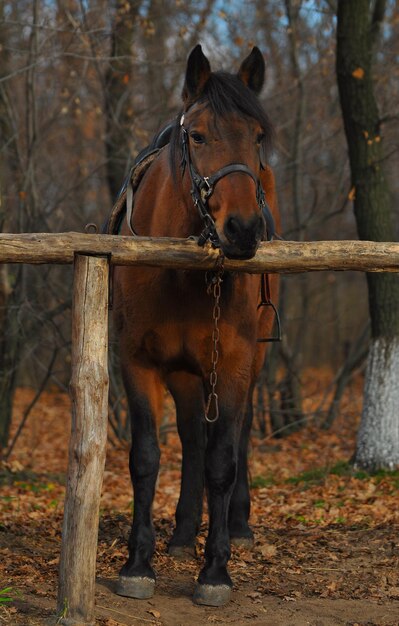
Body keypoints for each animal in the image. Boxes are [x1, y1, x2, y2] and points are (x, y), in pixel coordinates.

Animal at [112, 44, 282, 604]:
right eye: (199, 135)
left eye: (258, 135)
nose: (244, 229)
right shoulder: (137, 363)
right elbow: (146, 457)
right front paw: (138, 563)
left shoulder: (232, 364)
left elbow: (223, 459)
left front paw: (216, 570)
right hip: (186, 373)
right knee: (190, 437)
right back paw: (185, 534)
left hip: (252, 361)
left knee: (239, 434)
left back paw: (239, 527)